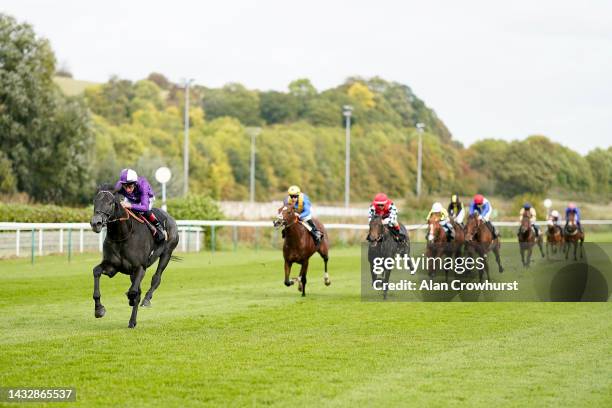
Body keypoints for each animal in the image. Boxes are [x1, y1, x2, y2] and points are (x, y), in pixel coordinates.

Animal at [88, 185, 179, 328]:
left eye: (110, 202)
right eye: (94, 201)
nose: (95, 223)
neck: (123, 235)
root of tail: (170, 217)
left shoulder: (140, 267)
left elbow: (134, 292)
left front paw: (132, 299)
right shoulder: (112, 267)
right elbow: (96, 271)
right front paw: (99, 309)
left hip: (167, 254)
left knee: (156, 278)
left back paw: (145, 302)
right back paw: (132, 320)